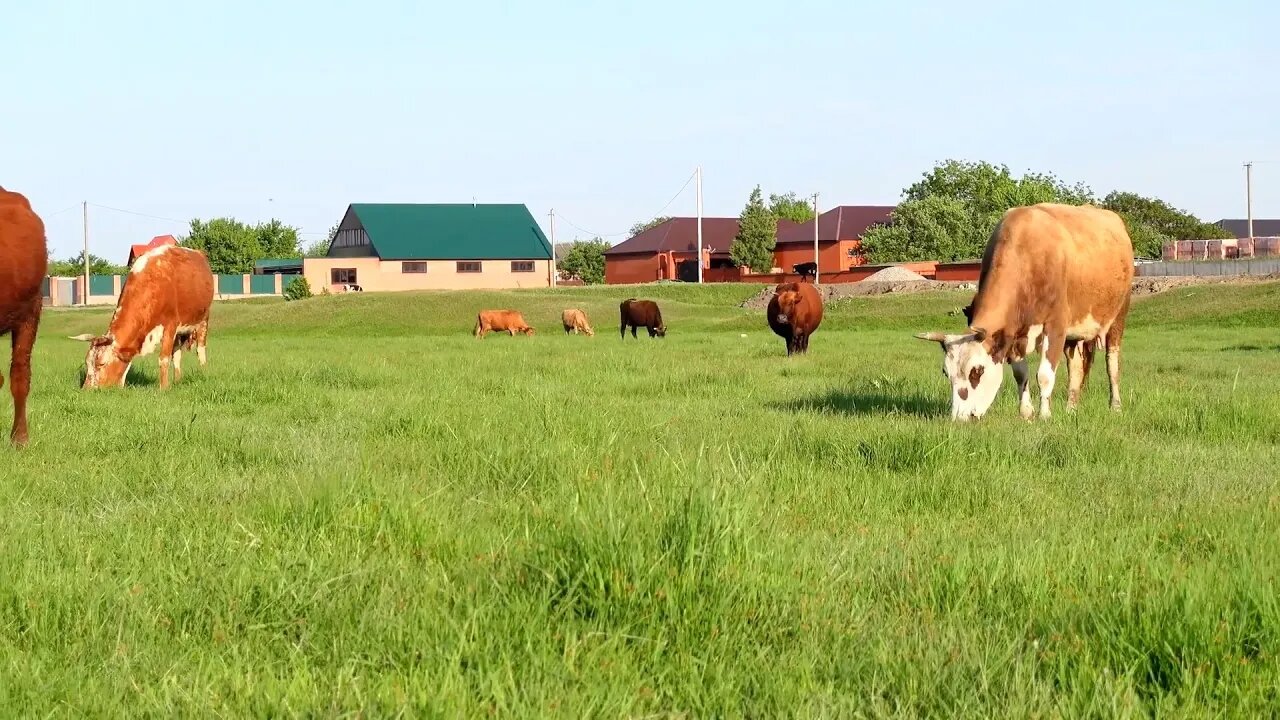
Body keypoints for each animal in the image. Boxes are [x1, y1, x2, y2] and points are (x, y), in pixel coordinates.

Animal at [70, 242, 215, 389]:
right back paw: (177, 380)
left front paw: (164, 388)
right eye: (87, 363)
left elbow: (164, 358)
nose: (86, 390)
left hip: (203, 319)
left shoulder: (170, 325)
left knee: (200, 349)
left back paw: (203, 373)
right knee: (177, 353)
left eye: (101, 364)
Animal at [916, 202, 1136, 420]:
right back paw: (1071, 409)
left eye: (977, 371)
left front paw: (1044, 415)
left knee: (1112, 364)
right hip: (1076, 333)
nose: (960, 417)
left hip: (1118, 316)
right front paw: (1026, 412)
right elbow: (1021, 374)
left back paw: (1115, 406)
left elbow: (1045, 375)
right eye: (946, 372)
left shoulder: (1055, 326)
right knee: (1075, 366)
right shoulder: (1013, 333)